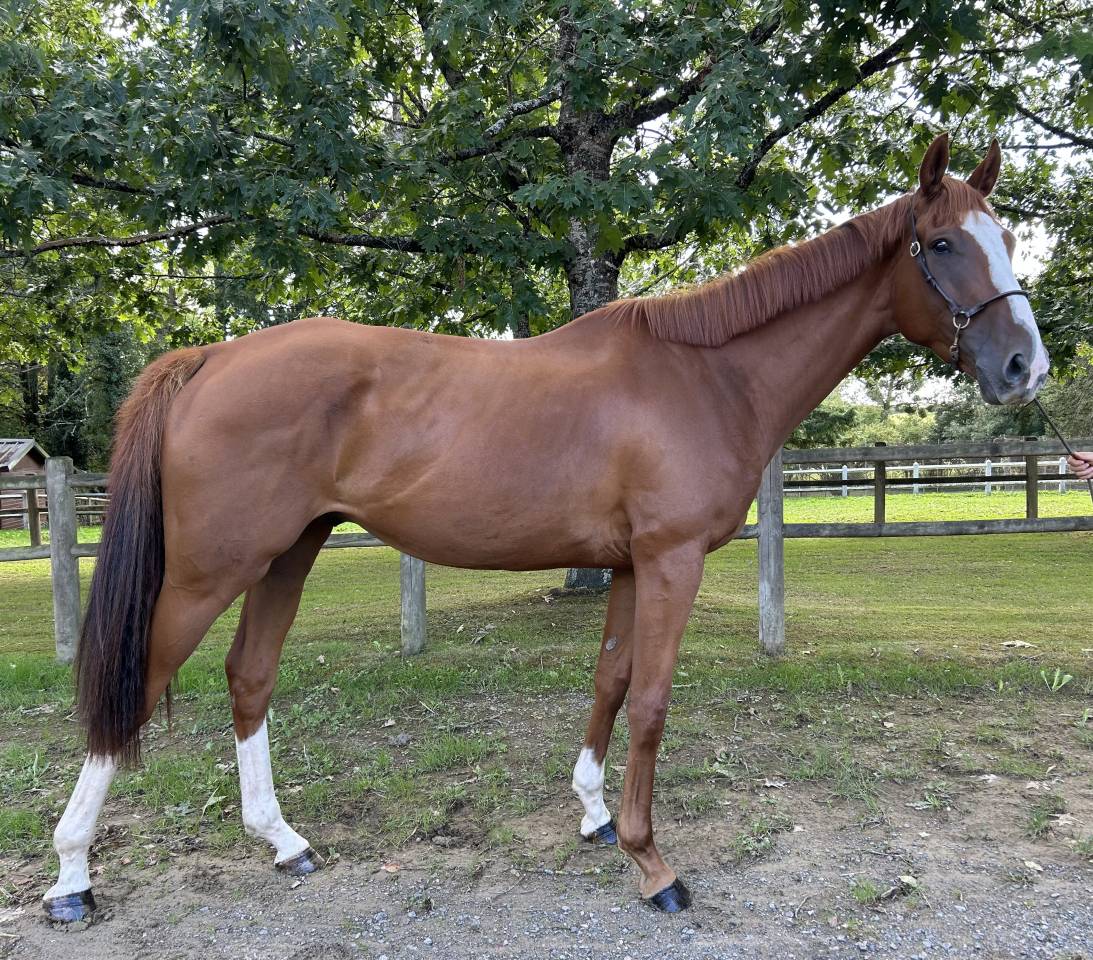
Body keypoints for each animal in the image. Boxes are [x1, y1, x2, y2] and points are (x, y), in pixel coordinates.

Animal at [43, 134, 1048, 921]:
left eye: (1004, 240)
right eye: (942, 243)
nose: (1022, 367)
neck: (705, 375)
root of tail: (212, 358)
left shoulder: (631, 566)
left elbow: (609, 682)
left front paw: (596, 816)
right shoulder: (671, 562)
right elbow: (650, 702)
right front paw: (652, 864)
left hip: (289, 552)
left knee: (248, 678)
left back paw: (284, 841)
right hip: (209, 571)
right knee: (136, 687)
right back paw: (71, 878)